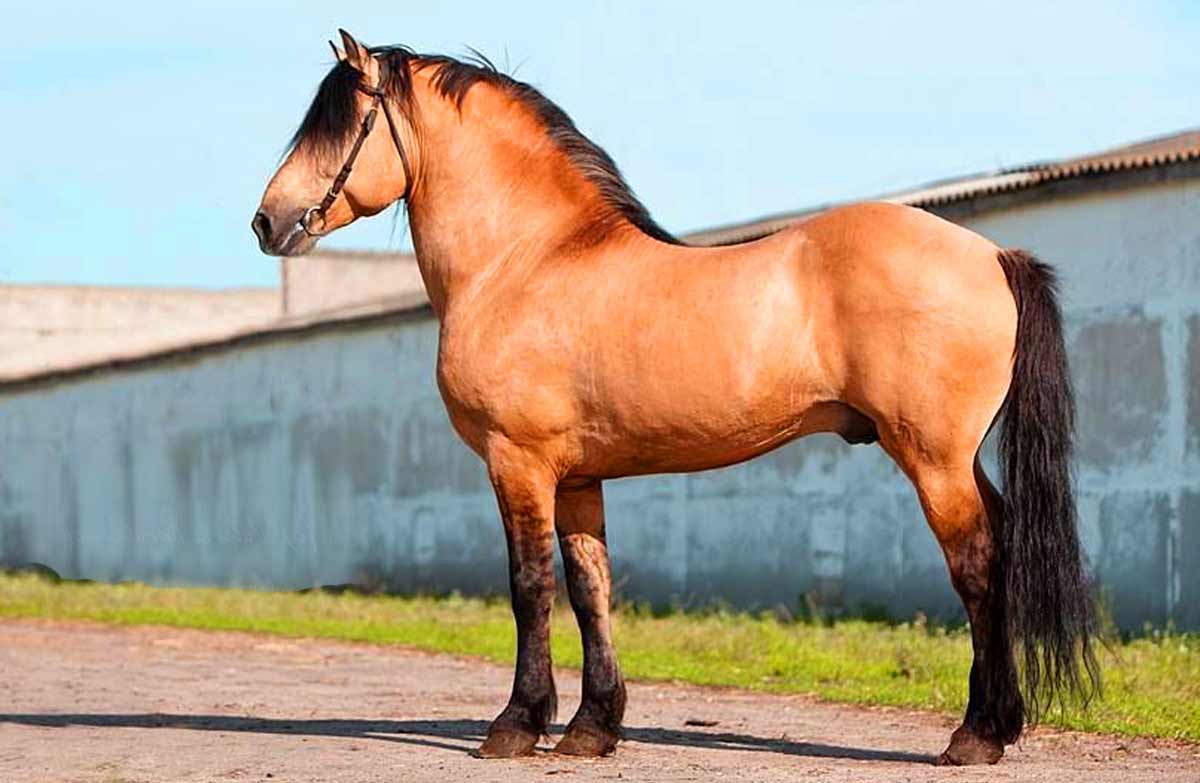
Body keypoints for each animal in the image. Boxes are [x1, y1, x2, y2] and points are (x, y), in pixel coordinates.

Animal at [252, 30, 1099, 766]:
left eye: (343, 122)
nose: (267, 221)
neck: (526, 261)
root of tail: (993, 253)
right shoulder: (577, 477)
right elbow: (591, 587)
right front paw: (592, 727)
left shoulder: (517, 463)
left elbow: (530, 587)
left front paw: (516, 724)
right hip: (958, 460)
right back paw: (1001, 722)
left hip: (934, 460)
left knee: (978, 565)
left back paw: (975, 736)